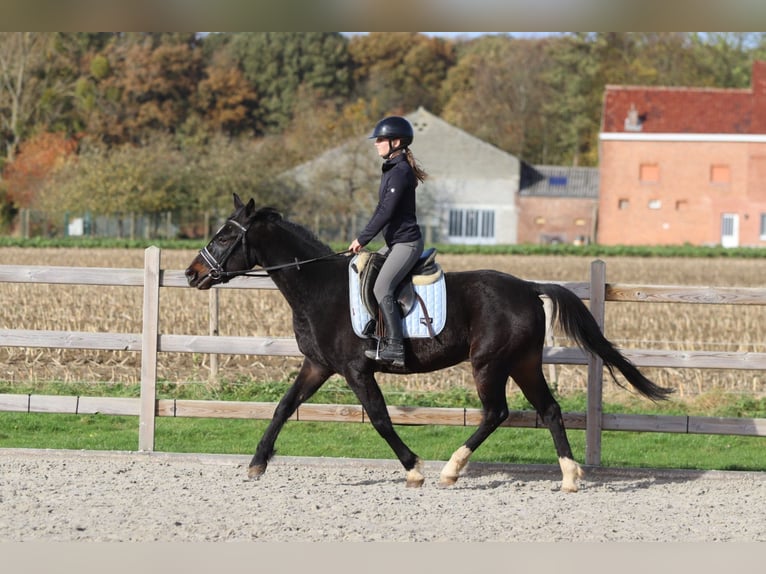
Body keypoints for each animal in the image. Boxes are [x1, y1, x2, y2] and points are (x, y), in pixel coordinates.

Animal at [185, 194, 672, 492]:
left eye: (225, 236)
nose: (192, 273)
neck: (319, 288)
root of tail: (528, 287)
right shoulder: (318, 366)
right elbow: (283, 407)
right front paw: (257, 462)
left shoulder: (356, 369)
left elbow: (380, 419)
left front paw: (414, 469)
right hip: (523, 362)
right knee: (548, 410)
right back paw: (569, 477)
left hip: (489, 363)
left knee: (496, 412)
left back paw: (451, 470)